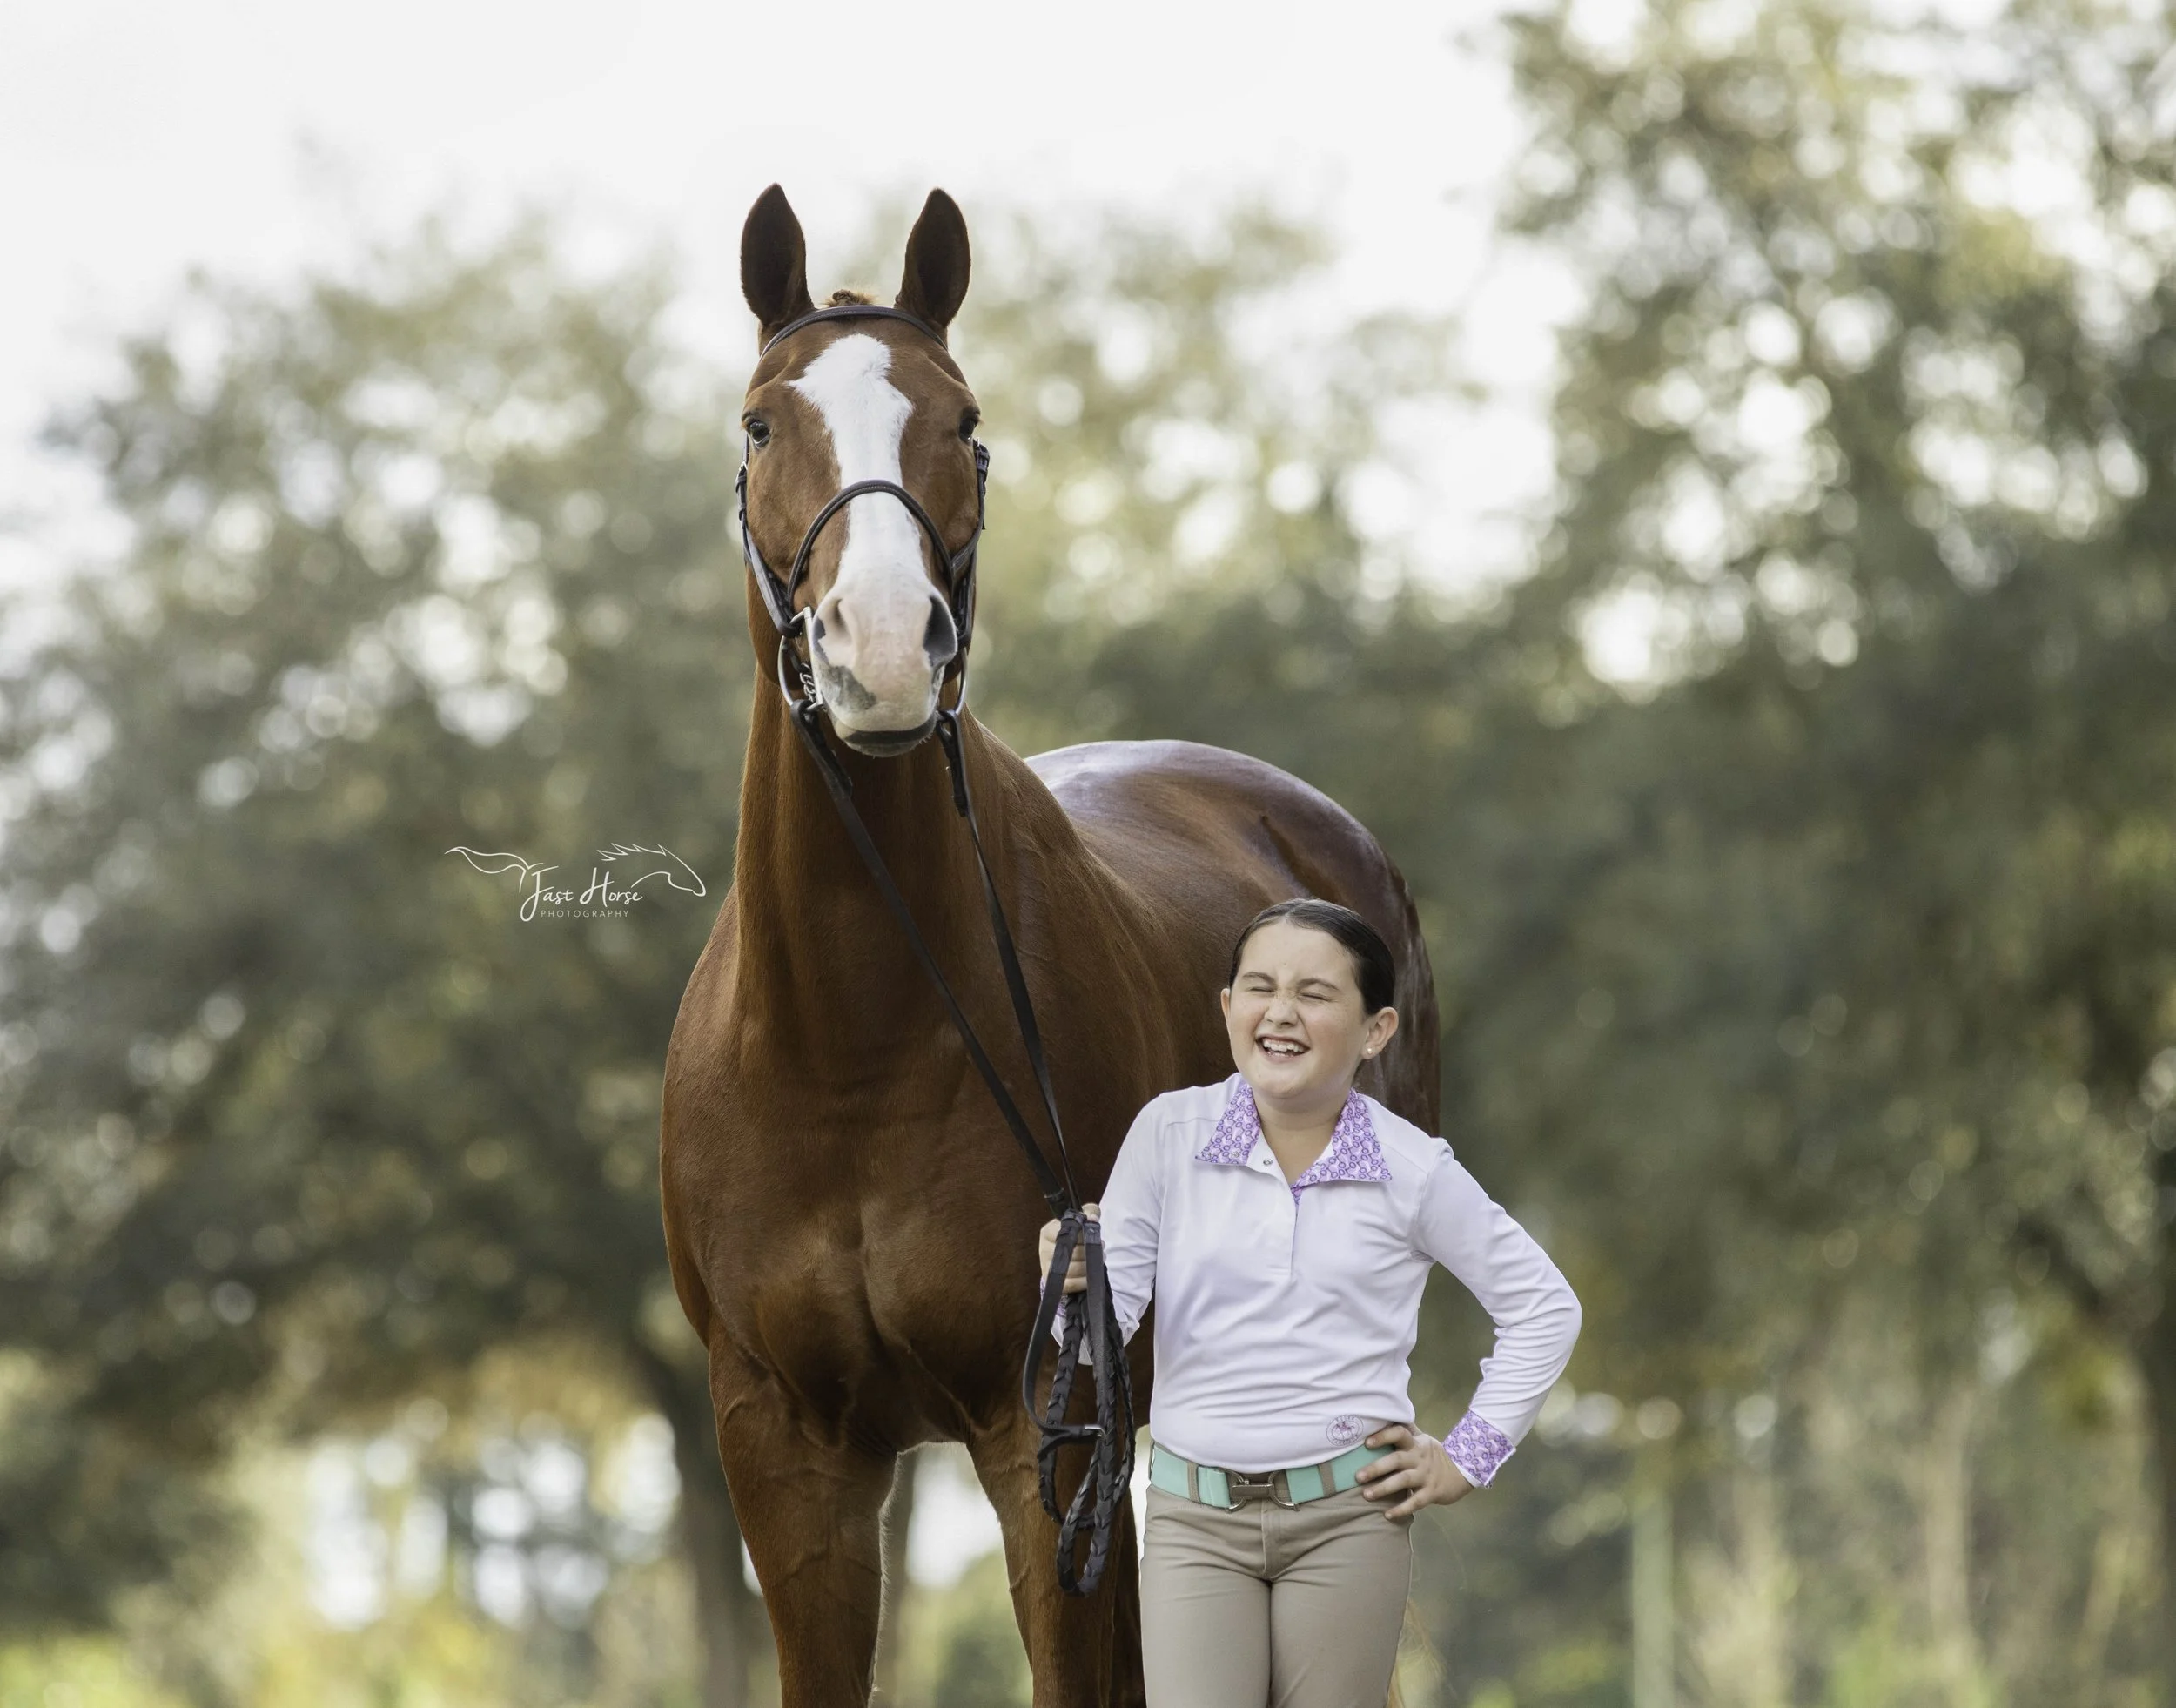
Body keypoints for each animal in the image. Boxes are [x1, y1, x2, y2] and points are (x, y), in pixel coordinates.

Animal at [660, 184, 1441, 1708]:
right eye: (762, 424)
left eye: (963, 421)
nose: (881, 650)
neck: (850, 1038)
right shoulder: (785, 1450)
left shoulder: (1048, 1432)